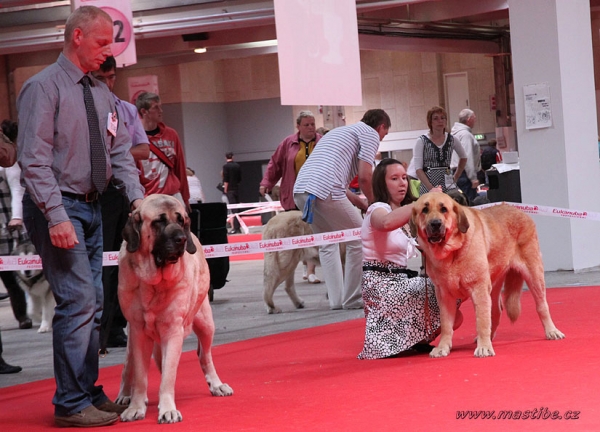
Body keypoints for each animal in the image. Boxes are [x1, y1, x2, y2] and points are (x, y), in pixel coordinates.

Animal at [117, 194, 232, 424]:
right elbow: (140, 375)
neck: (153, 283)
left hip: (206, 323)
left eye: (181, 220)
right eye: (158, 221)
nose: (181, 239)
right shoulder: (138, 331)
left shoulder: (172, 330)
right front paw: (136, 406)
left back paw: (216, 385)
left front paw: (167, 408)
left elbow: (169, 374)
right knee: (128, 366)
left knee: (204, 355)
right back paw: (125, 393)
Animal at [410, 192, 564, 358]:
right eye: (424, 210)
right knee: (496, 311)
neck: (452, 252)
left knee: (541, 305)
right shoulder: (444, 295)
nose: (435, 223)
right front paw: (443, 347)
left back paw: (552, 331)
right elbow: (446, 324)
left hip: (534, 274)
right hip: (494, 285)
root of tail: (517, 209)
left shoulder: (479, 289)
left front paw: (484, 347)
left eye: (444, 209)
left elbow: (482, 320)